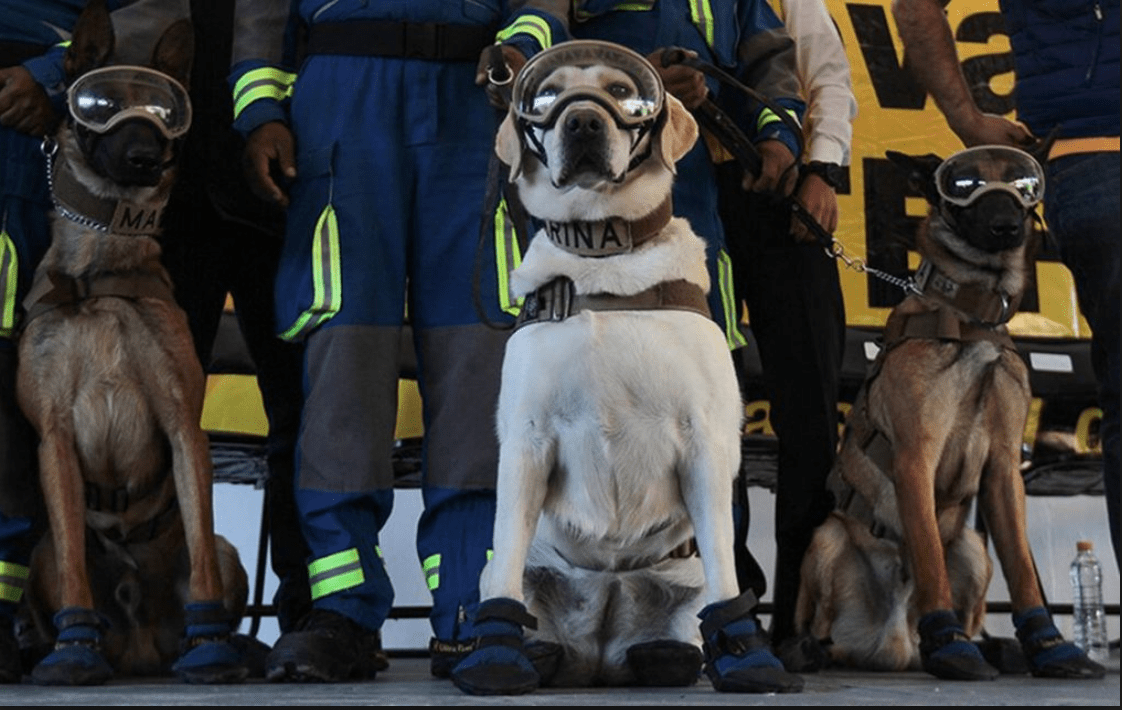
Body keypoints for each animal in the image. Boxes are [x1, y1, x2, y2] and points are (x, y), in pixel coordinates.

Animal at [15, 1, 247, 686]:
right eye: (103, 104)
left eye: (165, 113)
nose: (148, 159)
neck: (101, 272)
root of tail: (142, 652)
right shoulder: (55, 438)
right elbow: (73, 564)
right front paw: (72, 649)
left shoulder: (182, 426)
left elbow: (199, 550)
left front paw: (211, 645)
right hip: (37, 558)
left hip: (231, 553)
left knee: (213, 555)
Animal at [451, 38, 803, 690]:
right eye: (547, 96)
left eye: (620, 93)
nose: (583, 122)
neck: (602, 254)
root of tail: (599, 645)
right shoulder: (527, 438)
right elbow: (507, 552)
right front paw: (496, 655)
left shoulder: (705, 439)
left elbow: (726, 567)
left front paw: (750, 656)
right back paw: (543, 652)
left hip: (681, 587)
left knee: (691, 612)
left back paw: (670, 655)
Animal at [789, 143, 1104, 681]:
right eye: (965, 184)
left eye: (1023, 184)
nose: (1006, 227)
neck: (972, 316)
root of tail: (896, 644)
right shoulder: (917, 458)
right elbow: (930, 554)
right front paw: (950, 641)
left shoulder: (1004, 468)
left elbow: (1022, 567)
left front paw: (1048, 644)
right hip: (827, 538)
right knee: (821, 628)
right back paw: (817, 651)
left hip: (975, 550)